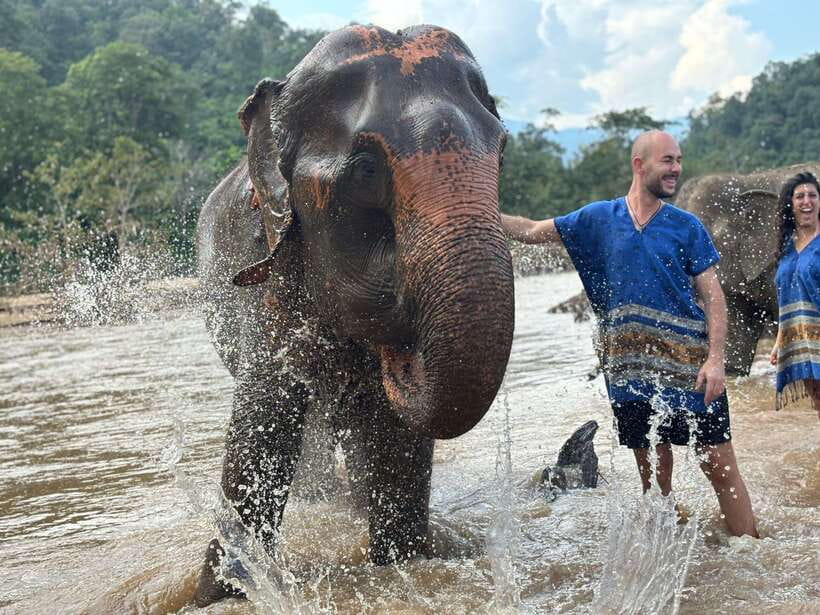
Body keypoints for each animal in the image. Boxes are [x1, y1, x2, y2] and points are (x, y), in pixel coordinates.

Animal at [193, 24, 515, 606]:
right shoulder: (270, 276)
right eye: (366, 170)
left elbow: (396, 443)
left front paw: (402, 563)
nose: (402, 356)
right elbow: (263, 423)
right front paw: (223, 588)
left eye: (501, 152)